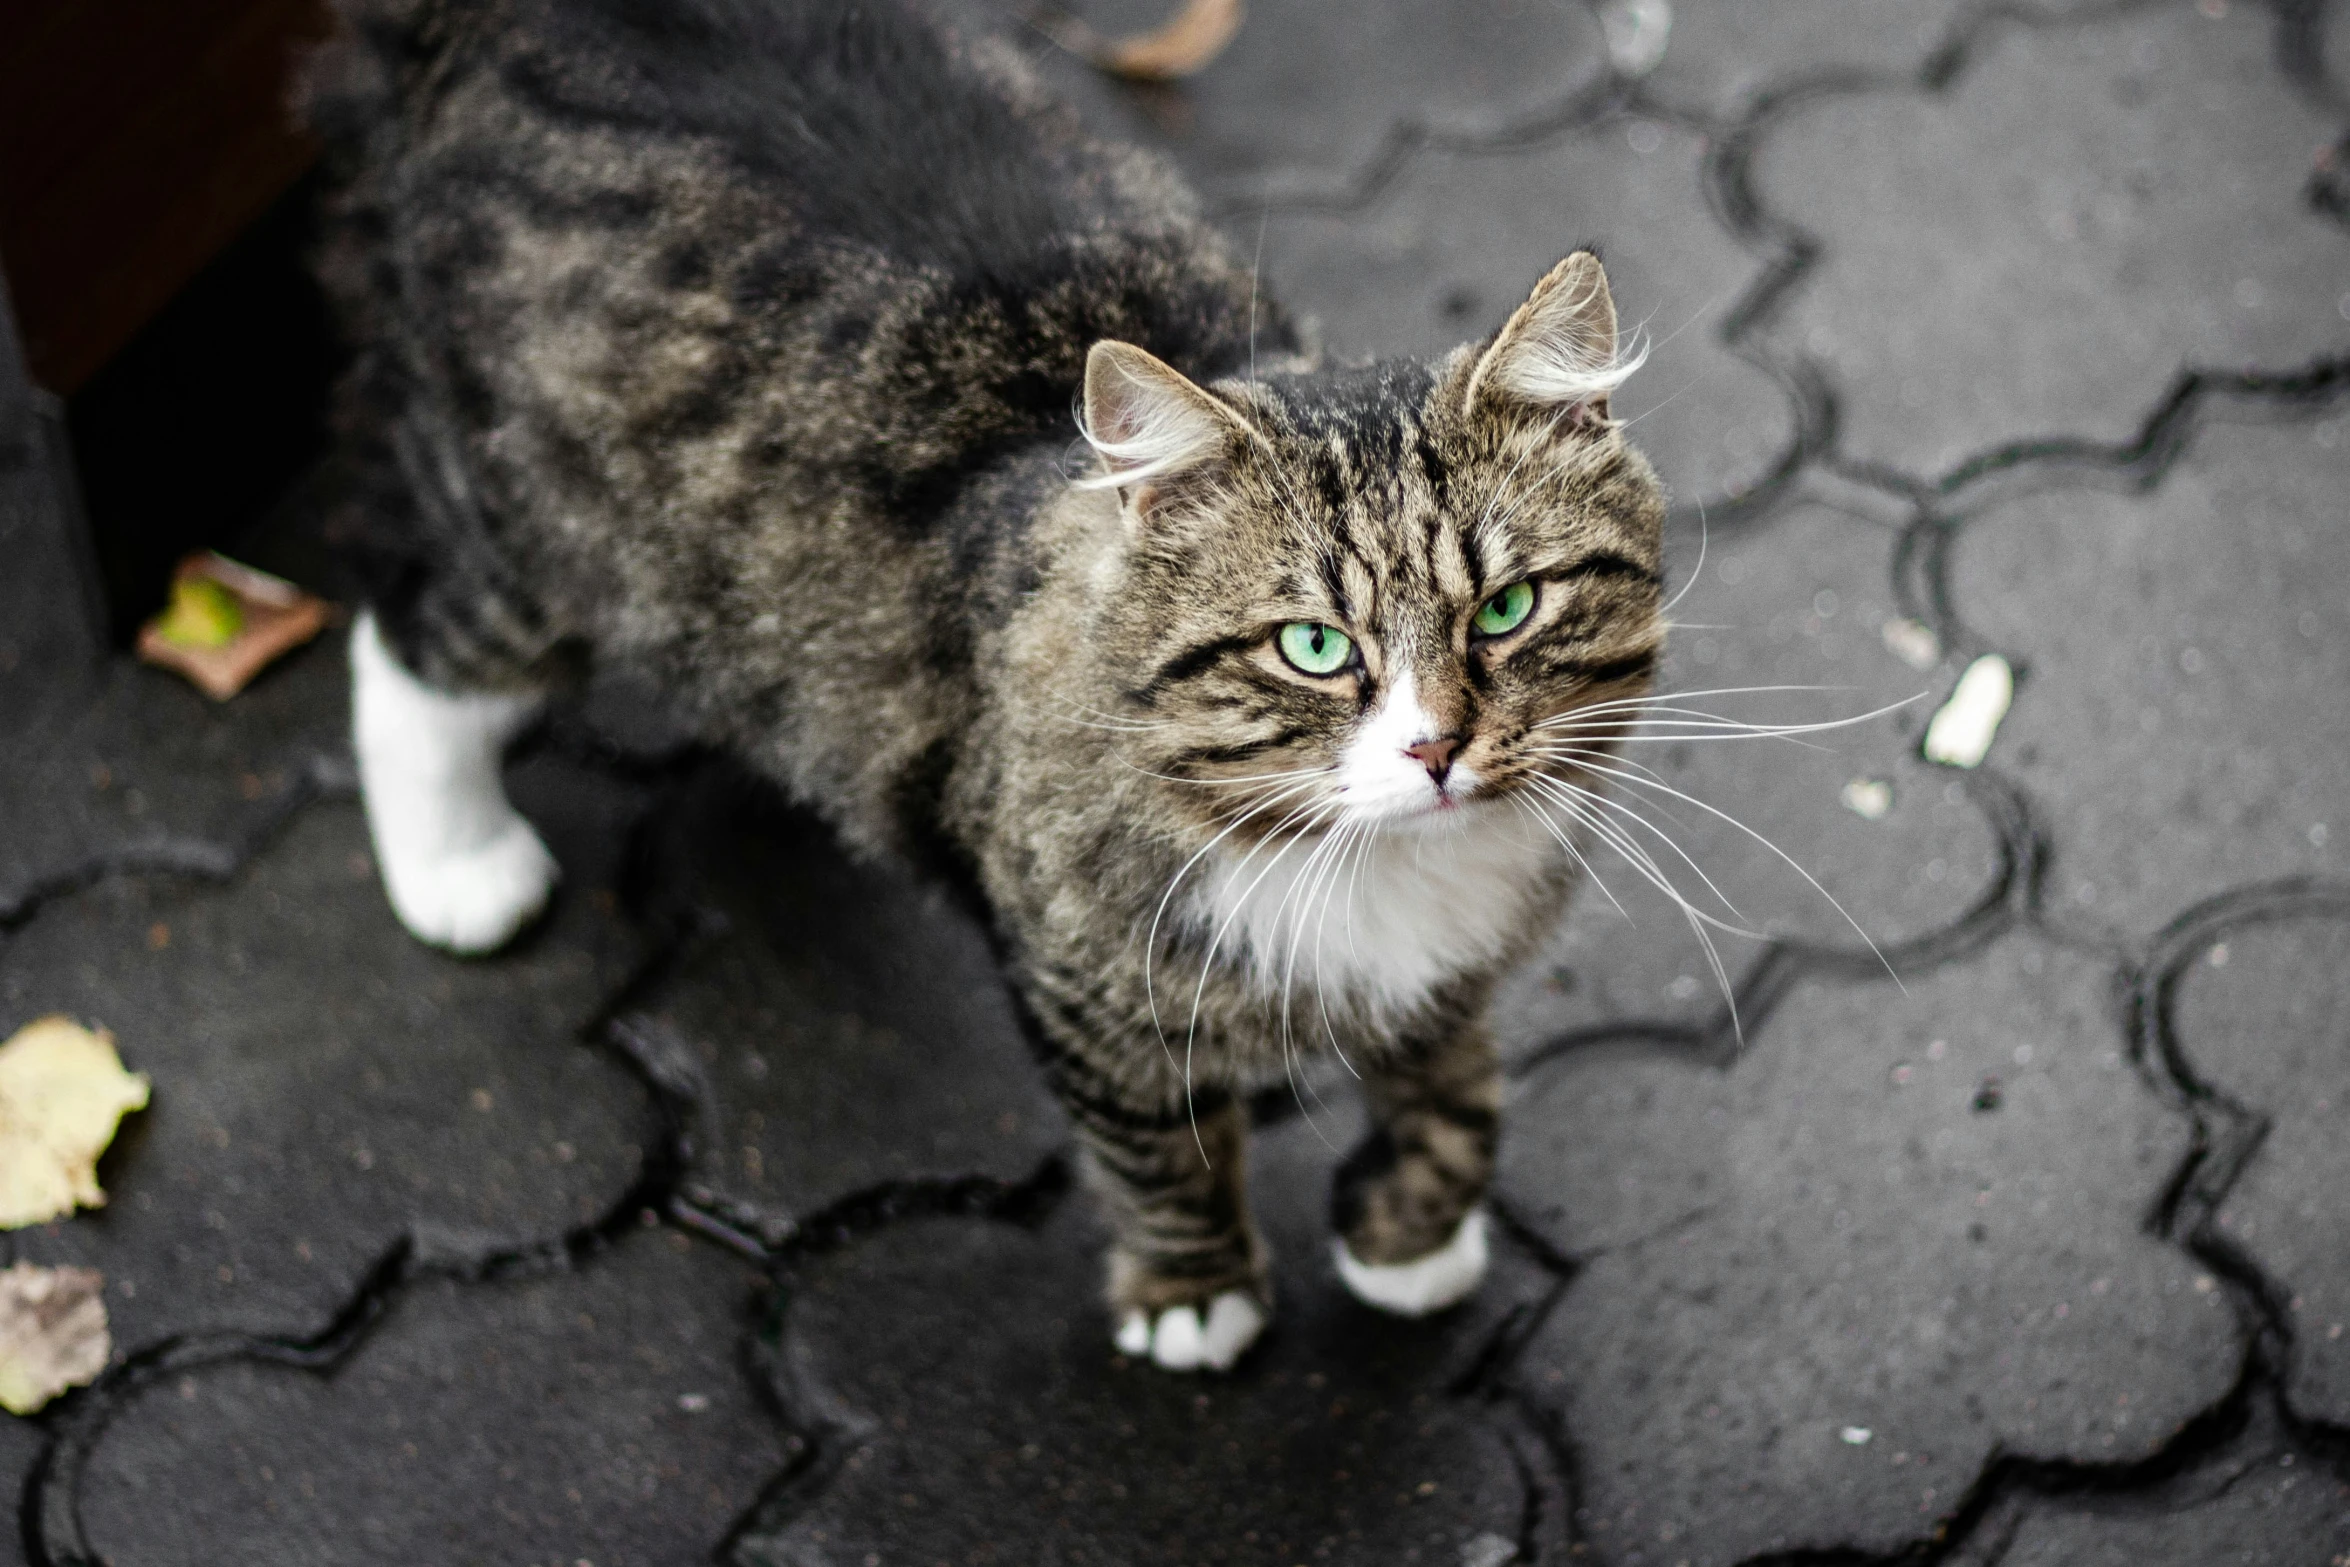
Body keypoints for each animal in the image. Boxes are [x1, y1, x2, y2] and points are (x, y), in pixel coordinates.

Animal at [303, 0, 1663, 1372]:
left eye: (1507, 608)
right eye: (1314, 648)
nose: (1436, 749)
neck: (1375, 861)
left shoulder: (1453, 966)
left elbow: (1454, 1090)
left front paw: (1409, 1236)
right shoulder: (1081, 979)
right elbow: (1157, 1146)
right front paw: (1194, 1294)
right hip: (539, 530)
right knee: (410, 639)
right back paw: (458, 867)